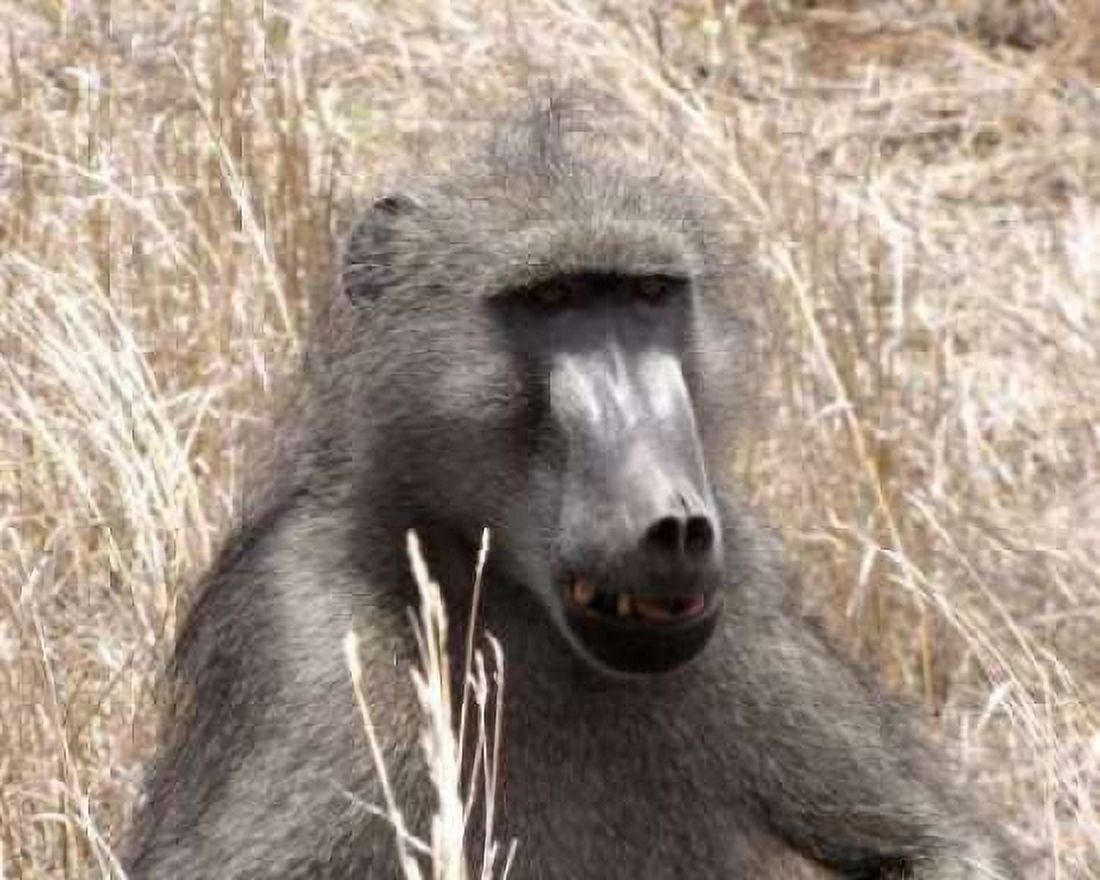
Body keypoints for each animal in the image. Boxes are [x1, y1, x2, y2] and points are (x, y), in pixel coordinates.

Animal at [124, 100, 1021, 879]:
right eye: (551, 300)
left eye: (648, 295)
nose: (674, 528)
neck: (491, 589)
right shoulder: (308, 639)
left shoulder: (749, 596)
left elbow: (941, 850)